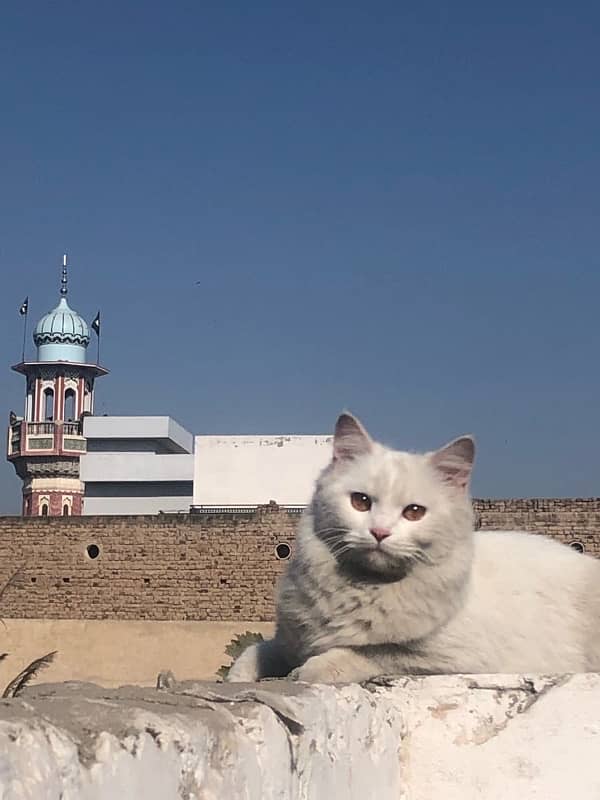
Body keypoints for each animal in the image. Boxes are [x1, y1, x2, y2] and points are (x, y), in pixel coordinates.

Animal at [226, 412, 600, 680]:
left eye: (414, 512)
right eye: (361, 502)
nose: (379, 532)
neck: (360, 588)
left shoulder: (450, 656)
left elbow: (372, 651)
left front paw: (313, 668)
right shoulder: (290, 639)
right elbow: (255, 651)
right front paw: (241, 675)